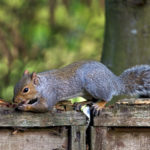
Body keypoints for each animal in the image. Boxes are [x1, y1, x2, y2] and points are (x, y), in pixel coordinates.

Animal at [12, 60, 150, 113]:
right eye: (15, 86)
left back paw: (100, 105)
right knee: (92, 99)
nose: (14, 100)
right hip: (87, 92)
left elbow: (44, 107)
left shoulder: (50, 94)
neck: (42, 85)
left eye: (26, 89)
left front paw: (24, 107)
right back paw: (82, 103)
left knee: (105, 97)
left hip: (95, 85)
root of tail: (113, 81)